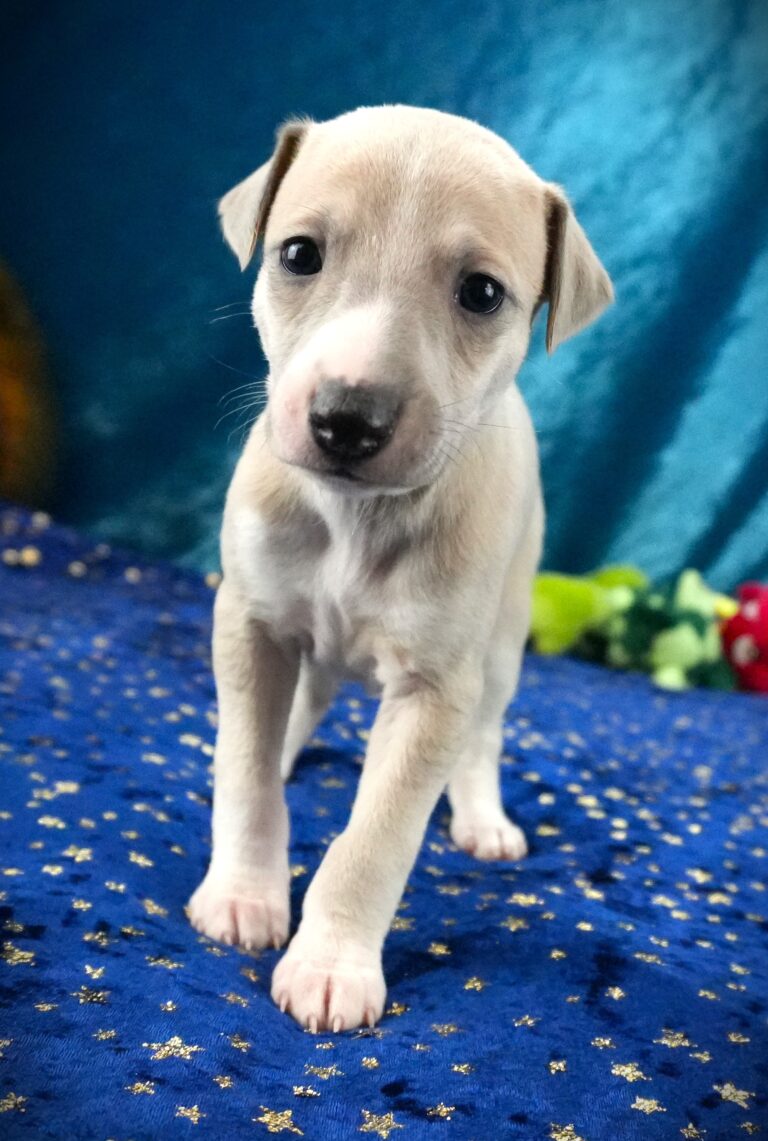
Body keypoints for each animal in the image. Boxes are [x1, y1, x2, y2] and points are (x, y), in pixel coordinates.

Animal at [188, 105, 613, 1031]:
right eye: (299, 253)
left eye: (482, 293)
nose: (347, 417)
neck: (356, 518)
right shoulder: (252, 621)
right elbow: (245, 771)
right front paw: (243, 893)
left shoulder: (434, 688)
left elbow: (377, 836)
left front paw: (331, 963)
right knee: (300, 702)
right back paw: (287, 745)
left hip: (502, 638)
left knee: (484, 735)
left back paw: (483, 817)